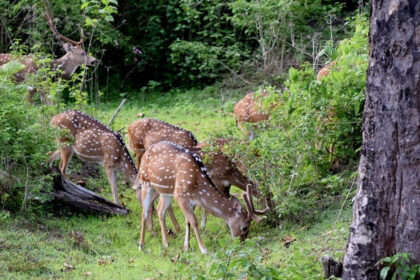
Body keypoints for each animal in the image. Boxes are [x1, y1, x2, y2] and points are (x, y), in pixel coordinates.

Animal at [134, 142, 270, 254]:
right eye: (244, 227)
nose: (241, 242)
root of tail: (145, 153)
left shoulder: (191, 199)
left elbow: (187, 221)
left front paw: (186, 247)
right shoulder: (181, 196)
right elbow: (194, 221)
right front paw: (203, 249)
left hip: (165, 192)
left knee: (160, 210)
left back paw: (166, 243)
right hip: (146, 183)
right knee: (144, 212)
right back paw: (141, 245)